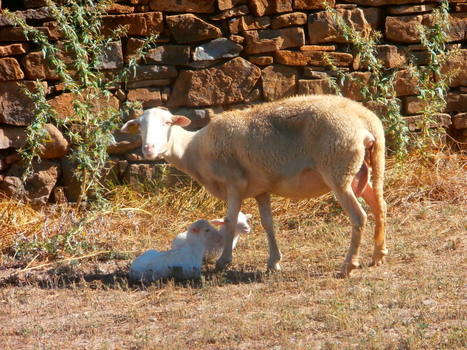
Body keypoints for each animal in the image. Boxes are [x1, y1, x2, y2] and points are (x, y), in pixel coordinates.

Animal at [120, 95, 388, 276]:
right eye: (140, 126)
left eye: (167, 123)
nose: (148, 149)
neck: (193, 149)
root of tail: (367, 122)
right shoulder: (261, 189)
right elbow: (268, 224)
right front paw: (274, 262)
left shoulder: (233, 183)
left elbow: (229, 221)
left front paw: (224, 261)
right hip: (364, 168)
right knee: (380, 206)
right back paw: (378, 255)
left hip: (338, 168)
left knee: (359, 216)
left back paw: (348, 266)